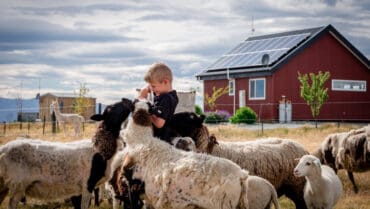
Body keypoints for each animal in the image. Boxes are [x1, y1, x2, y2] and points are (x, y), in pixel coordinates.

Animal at [0, 98, 133, 209]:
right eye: (111, 108)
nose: (127, 100)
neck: (99, 149)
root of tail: (3, 150)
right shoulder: (87, 185)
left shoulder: (78, 190)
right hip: (17, 185)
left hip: (6, 185)